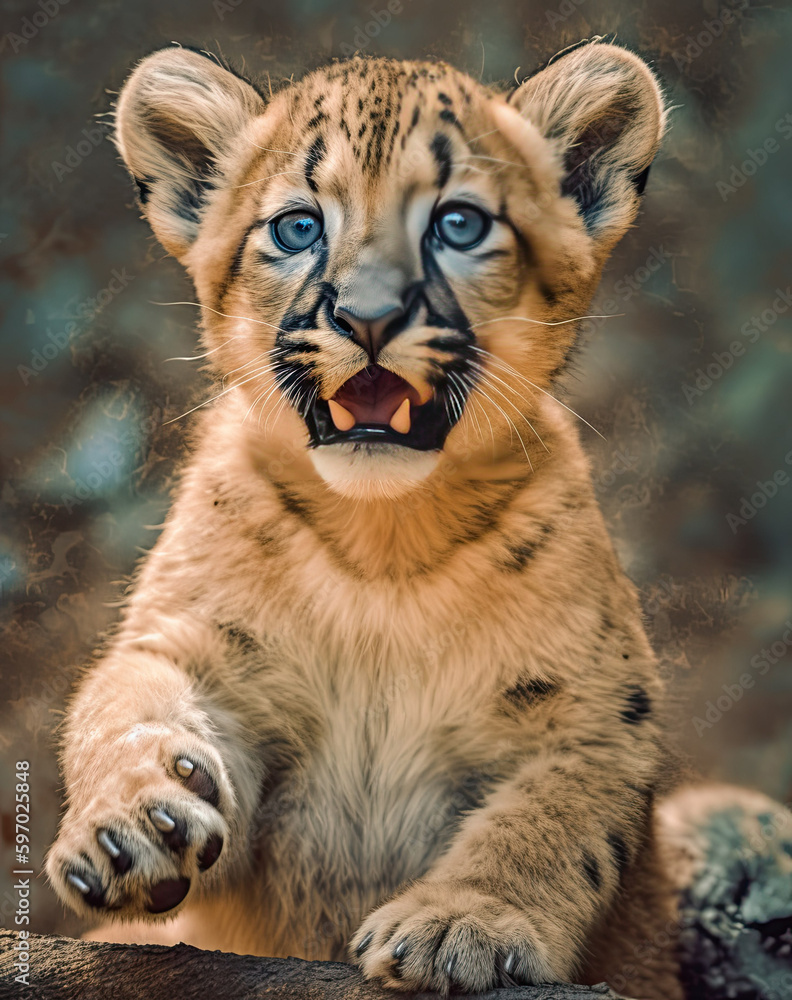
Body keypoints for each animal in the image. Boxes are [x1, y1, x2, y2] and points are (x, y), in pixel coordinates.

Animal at [45, 38, 690, 997]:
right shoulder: (198, 645)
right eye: (297, 228)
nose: (368, 316)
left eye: (457, 224)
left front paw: (460, 924)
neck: (382, 545)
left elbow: (550, 821)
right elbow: (123, 700)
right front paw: (129, 831)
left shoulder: (593, 711)